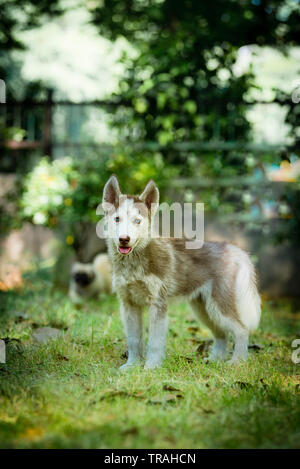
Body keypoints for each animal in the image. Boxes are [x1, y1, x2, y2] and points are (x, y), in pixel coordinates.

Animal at [101, 174, 260, 368]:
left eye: (137, 221)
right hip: (204, 309)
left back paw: (237, 362)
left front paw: (151, 367)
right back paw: (214, 360)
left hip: (219, 306)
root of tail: (232, 248)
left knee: (241, 330)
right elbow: (133, 339)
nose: (124, 239)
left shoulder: (158, 304)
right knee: (221, 333)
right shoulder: (129, 304)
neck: (133, 262)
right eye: (117, 219)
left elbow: (154, 342)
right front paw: (132, 366)